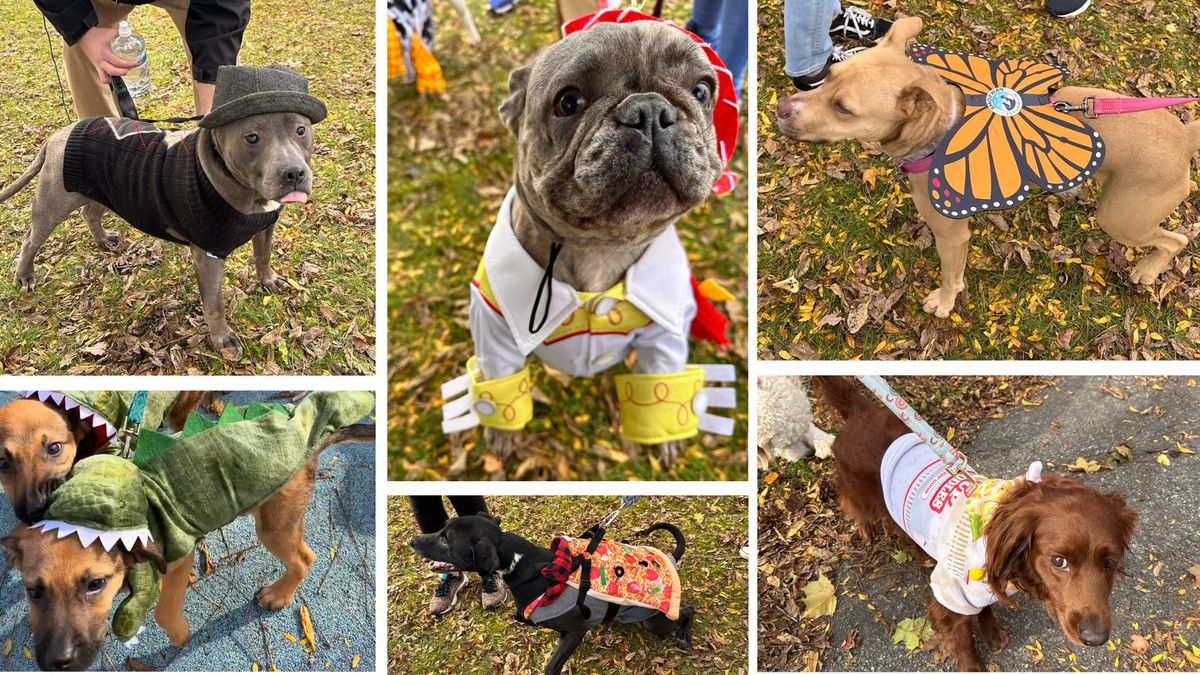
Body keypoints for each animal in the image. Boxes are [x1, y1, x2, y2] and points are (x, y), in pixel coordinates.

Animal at [412, 511, 696, 667]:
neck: (525, 565)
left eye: (445, 539)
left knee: (688, 610)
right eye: (442, 530)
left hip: (654, 621)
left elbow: (552, 666)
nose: (413, 540)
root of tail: (670, 560)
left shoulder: (575, 630)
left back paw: (684, 635)